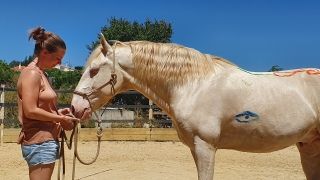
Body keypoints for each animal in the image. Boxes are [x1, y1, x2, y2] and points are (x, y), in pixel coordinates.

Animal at [71, 33, 320, 179]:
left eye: (94, 70)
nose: (75, 108)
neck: (193, 85)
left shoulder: (205, 147)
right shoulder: (194, 147)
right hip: (309, 145)